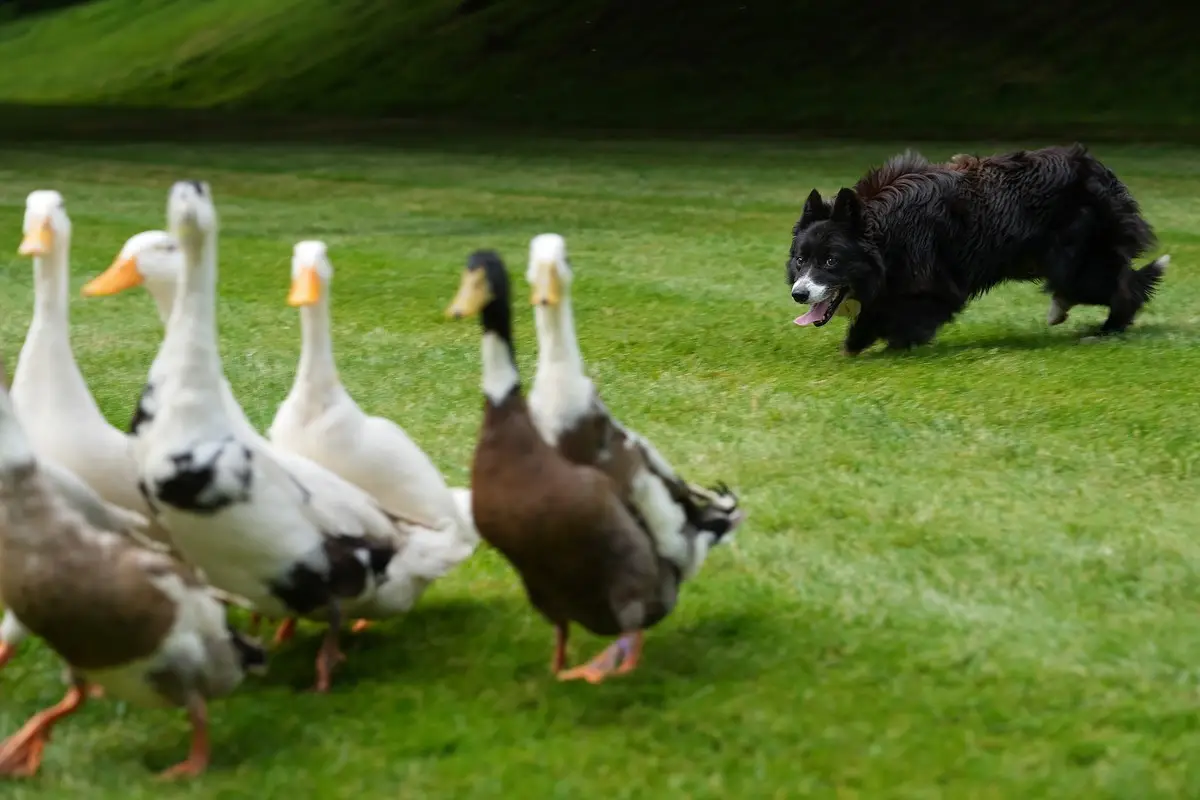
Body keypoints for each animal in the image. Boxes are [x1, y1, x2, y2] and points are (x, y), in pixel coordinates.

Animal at [787, 144, 1171, 357]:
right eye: (801, 260)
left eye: (831, 261)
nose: (798, 294)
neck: (884, 230)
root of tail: (1100, 170)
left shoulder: (933, 283)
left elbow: (888, 314)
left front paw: (863, 343)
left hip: (1078, 259)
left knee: (1123, 286)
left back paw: (1106, 330)